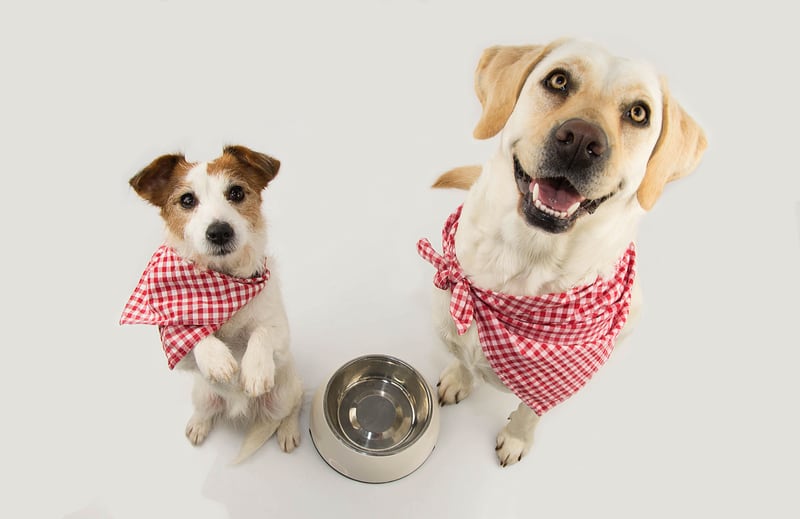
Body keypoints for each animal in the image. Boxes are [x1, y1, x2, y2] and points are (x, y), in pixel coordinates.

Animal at [121, 144, 304, 462]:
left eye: (236, 192)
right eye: (187, 200)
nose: (219, 231)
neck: (222, 282)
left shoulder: (281, 333)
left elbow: (263, 331)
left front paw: (255, 369)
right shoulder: (177, 350)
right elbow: (193, 331)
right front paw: (216, 358)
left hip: (283, 393)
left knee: (294, 405)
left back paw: (288, 430)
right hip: (202, 394)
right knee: (206, 411)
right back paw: (198, 424)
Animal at [418, 37, 708, 468]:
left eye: (639, 113)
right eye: (558, 80)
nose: (582, 139)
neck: (526, 257)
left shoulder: (556, 381)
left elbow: (530, 410)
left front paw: (516, 438)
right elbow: (461, 355)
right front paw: (458, 377)